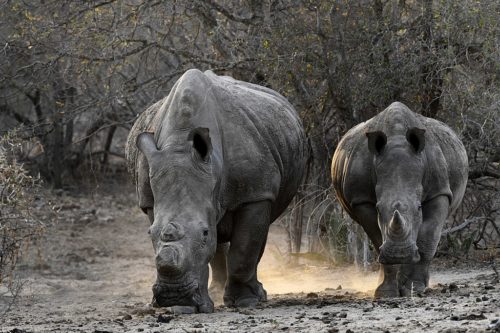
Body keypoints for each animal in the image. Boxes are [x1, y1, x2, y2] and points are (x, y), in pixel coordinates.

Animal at [126, 69, 304, 312]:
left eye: (204, 233)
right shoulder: (150, 199)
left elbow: (244, 248)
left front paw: (245, 301)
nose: (174, 296)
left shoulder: (256, 193)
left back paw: (256, 295)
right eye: (149, 234)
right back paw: (217, 292)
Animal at [332, 101, 468, 296]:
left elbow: (428, 236)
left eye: (419, 207)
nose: (400, 253)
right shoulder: (361, 199)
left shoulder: (439, 191)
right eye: (378, 208)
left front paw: (416, 287)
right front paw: (386, 293)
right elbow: (378, 239)